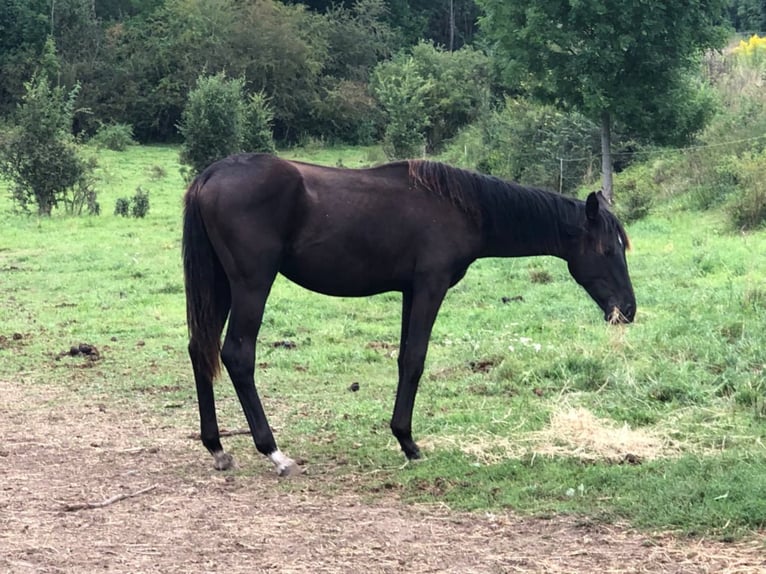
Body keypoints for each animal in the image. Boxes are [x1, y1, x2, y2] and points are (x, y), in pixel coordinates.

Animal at [182, 153, 636, 476]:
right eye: (606, 249)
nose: (628, 310)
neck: (459, 206)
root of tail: (211, 175)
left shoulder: (409, 291)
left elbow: (404, 358)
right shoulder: (430, 287)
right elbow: (414, 359)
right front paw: (408, 443)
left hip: (221, 286)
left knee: (200, 350)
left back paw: (217, 448)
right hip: (251, 284)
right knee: (238, 354)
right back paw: (274, 452)